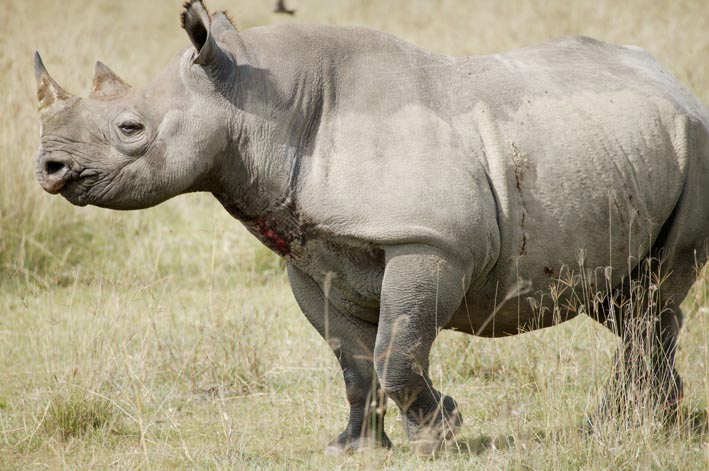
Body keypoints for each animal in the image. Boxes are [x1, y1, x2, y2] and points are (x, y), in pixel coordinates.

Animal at [34, 0, 709, 455]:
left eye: (130, 129)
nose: (48, 167)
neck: (257, 102)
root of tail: (676, 84)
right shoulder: (310, 255)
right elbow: (352, 360)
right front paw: (352, 447)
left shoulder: (428, 240)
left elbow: (395, 350)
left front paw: (440, 434)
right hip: (626, 148)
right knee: (628, 302)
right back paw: (654, 420)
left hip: (693, 145)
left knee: (649, 297)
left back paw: (621, 427)